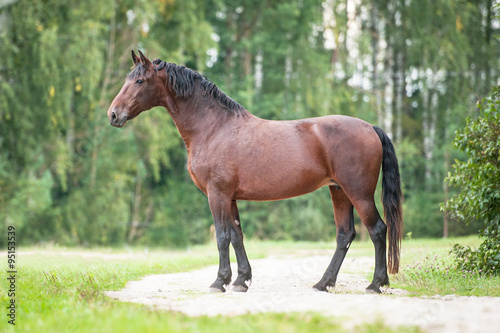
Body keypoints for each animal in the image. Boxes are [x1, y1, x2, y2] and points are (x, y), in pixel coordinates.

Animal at [106, 50, 402, 294]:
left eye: (139, 81)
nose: (113, 115)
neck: (214, 127)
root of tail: (371, 127)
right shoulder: (230, 197)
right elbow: (237, 236)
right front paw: (240, 280)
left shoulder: (217, 194)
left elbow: (222, 236)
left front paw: (219, 282)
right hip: (338, 191)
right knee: (345, 235)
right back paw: (323, 283)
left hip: (358, 193)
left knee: (377, 230)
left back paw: (375, 284)